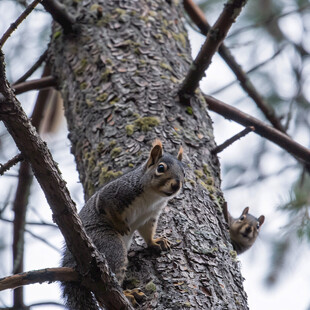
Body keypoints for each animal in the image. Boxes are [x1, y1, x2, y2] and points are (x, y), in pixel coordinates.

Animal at [61, 139, 185, 308]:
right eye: (161, 168)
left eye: (184, 172)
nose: (176, 185)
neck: (153, 196)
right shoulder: (117, 192)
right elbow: (105, 205)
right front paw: (120, 225)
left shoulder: (151, 215)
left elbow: (147, 230)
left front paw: (155, 242)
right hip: (108, 244)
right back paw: (127, 294)